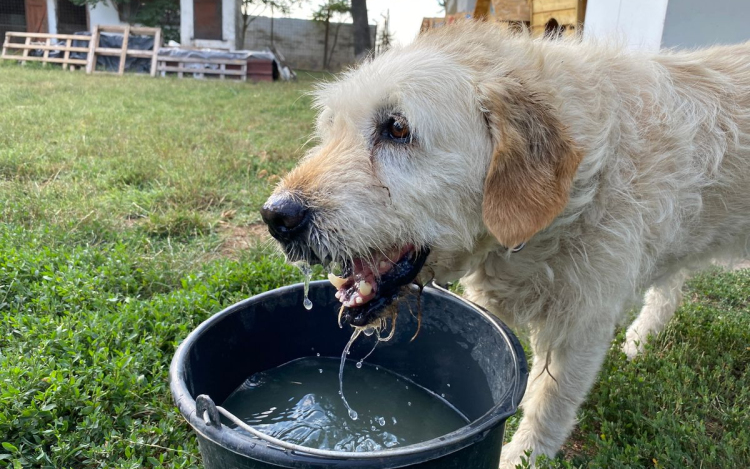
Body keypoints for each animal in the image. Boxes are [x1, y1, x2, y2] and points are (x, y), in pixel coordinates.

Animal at [260, 21, 750, 464]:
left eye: (397, 128)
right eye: (331, 127)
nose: (277, 216)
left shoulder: (583, 322)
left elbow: (549, 406)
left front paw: (523, 456)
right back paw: (641, 340)